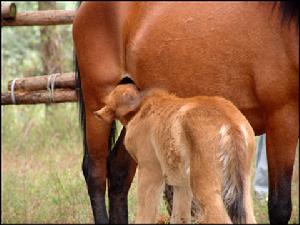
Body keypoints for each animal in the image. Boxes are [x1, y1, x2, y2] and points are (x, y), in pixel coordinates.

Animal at [95, 83, 256, 224]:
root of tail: (231, 124)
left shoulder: (150, 171)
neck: (142, 107)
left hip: (204, 186)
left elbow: (145, 216)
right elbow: (180, 218)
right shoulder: (181, 185)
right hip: (244, 188)